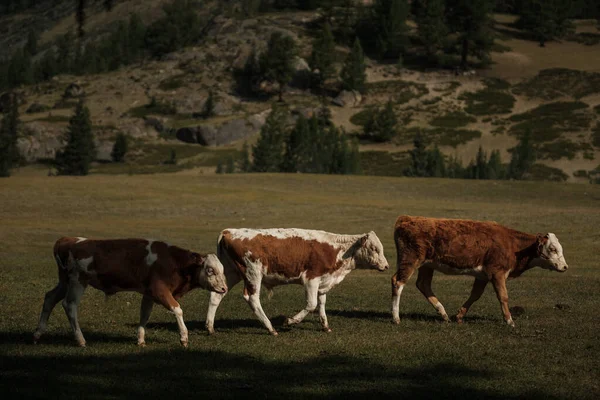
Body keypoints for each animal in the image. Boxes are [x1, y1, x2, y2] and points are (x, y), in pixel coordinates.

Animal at [34, 238, 229, 346]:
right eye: (210, 270)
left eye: (222, 269)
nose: (223, 288)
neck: (174, 262)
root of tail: (68, 241)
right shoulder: (160, 290)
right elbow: (177, 309)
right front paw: (184, 337)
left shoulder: (149, 293)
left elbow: (144, 315)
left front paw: (141, 340)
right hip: (77, 281)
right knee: (69, 305)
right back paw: (80, 340)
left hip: (65, 282)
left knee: (50, 298)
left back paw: (38, 334)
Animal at [206, 228, 392, 334]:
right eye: (374, 248)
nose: (386, 266)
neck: (336, 249)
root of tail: (228, 232)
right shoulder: (311, 279)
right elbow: (311, 304)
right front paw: (290, 321)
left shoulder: (323, 281)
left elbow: (321, 303)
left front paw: (325, 326)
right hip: (253, 273)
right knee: (252, 298)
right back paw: (270, 328)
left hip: (230, 272)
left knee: (216, 296)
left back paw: (210, 327)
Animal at [392, 214, 568, 326]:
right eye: (552, 249)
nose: (565, 267)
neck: (513, 245)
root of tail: (406, 219)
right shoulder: (497, 273)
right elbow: (503, 297)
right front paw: (509, 321)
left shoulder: (483, 275)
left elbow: (475, 295)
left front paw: (459, 316)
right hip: (410, 260)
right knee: (398, 282)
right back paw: (396, 317)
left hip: (427, 265)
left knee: (423, 285)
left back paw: (443, 314)